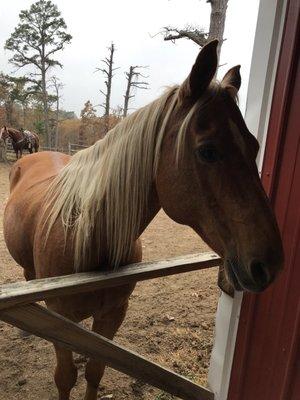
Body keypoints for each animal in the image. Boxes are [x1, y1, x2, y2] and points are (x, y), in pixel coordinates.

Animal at [3, 41, 282, 400]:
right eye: (207, 151)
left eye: (254, 146)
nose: (270, 263)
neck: (84, 238)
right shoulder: (58, 316)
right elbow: (65, 377)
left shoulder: (112, 314)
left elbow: (95, 370)